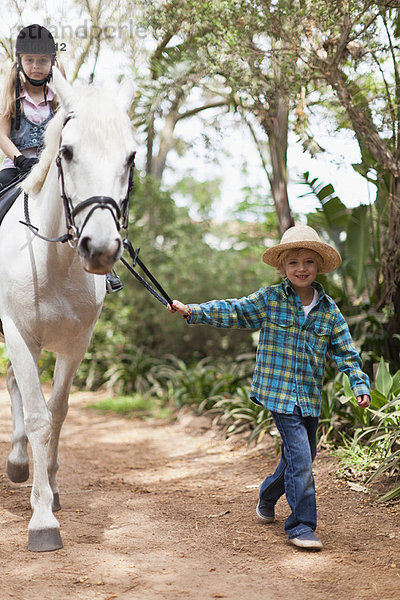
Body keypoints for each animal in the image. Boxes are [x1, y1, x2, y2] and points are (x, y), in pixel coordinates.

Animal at [0, 69, 136, 552]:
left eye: (130, 156)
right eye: (67, 152)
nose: (100, 249)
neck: (53, 262)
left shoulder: (75, 344)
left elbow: (57, 413)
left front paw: (52, 491)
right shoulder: (18, 332)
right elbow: (39, 417)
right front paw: (42, 522)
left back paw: (19, 462)